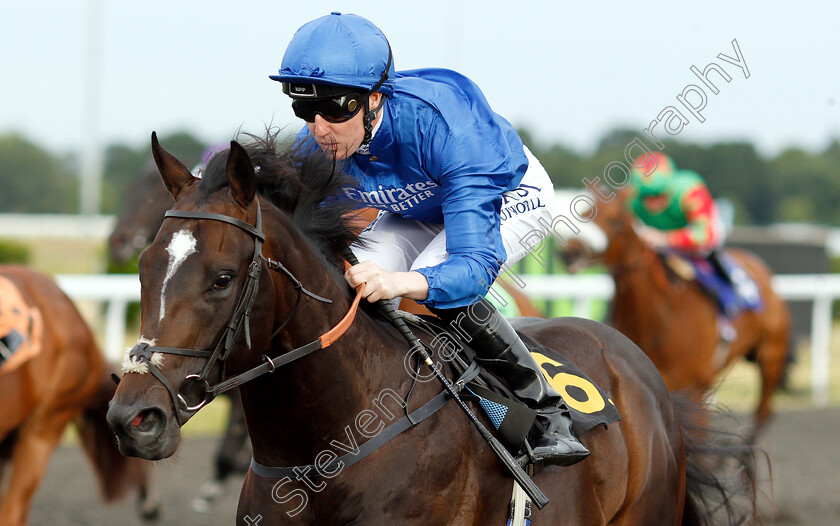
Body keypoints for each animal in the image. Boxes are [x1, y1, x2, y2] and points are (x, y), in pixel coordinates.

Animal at [560, 192, 792, 440]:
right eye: (584, 212)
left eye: (616, 221)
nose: (572, 252)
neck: (660, 319)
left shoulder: (694, 389)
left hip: (770, 356)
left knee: (763, 411)